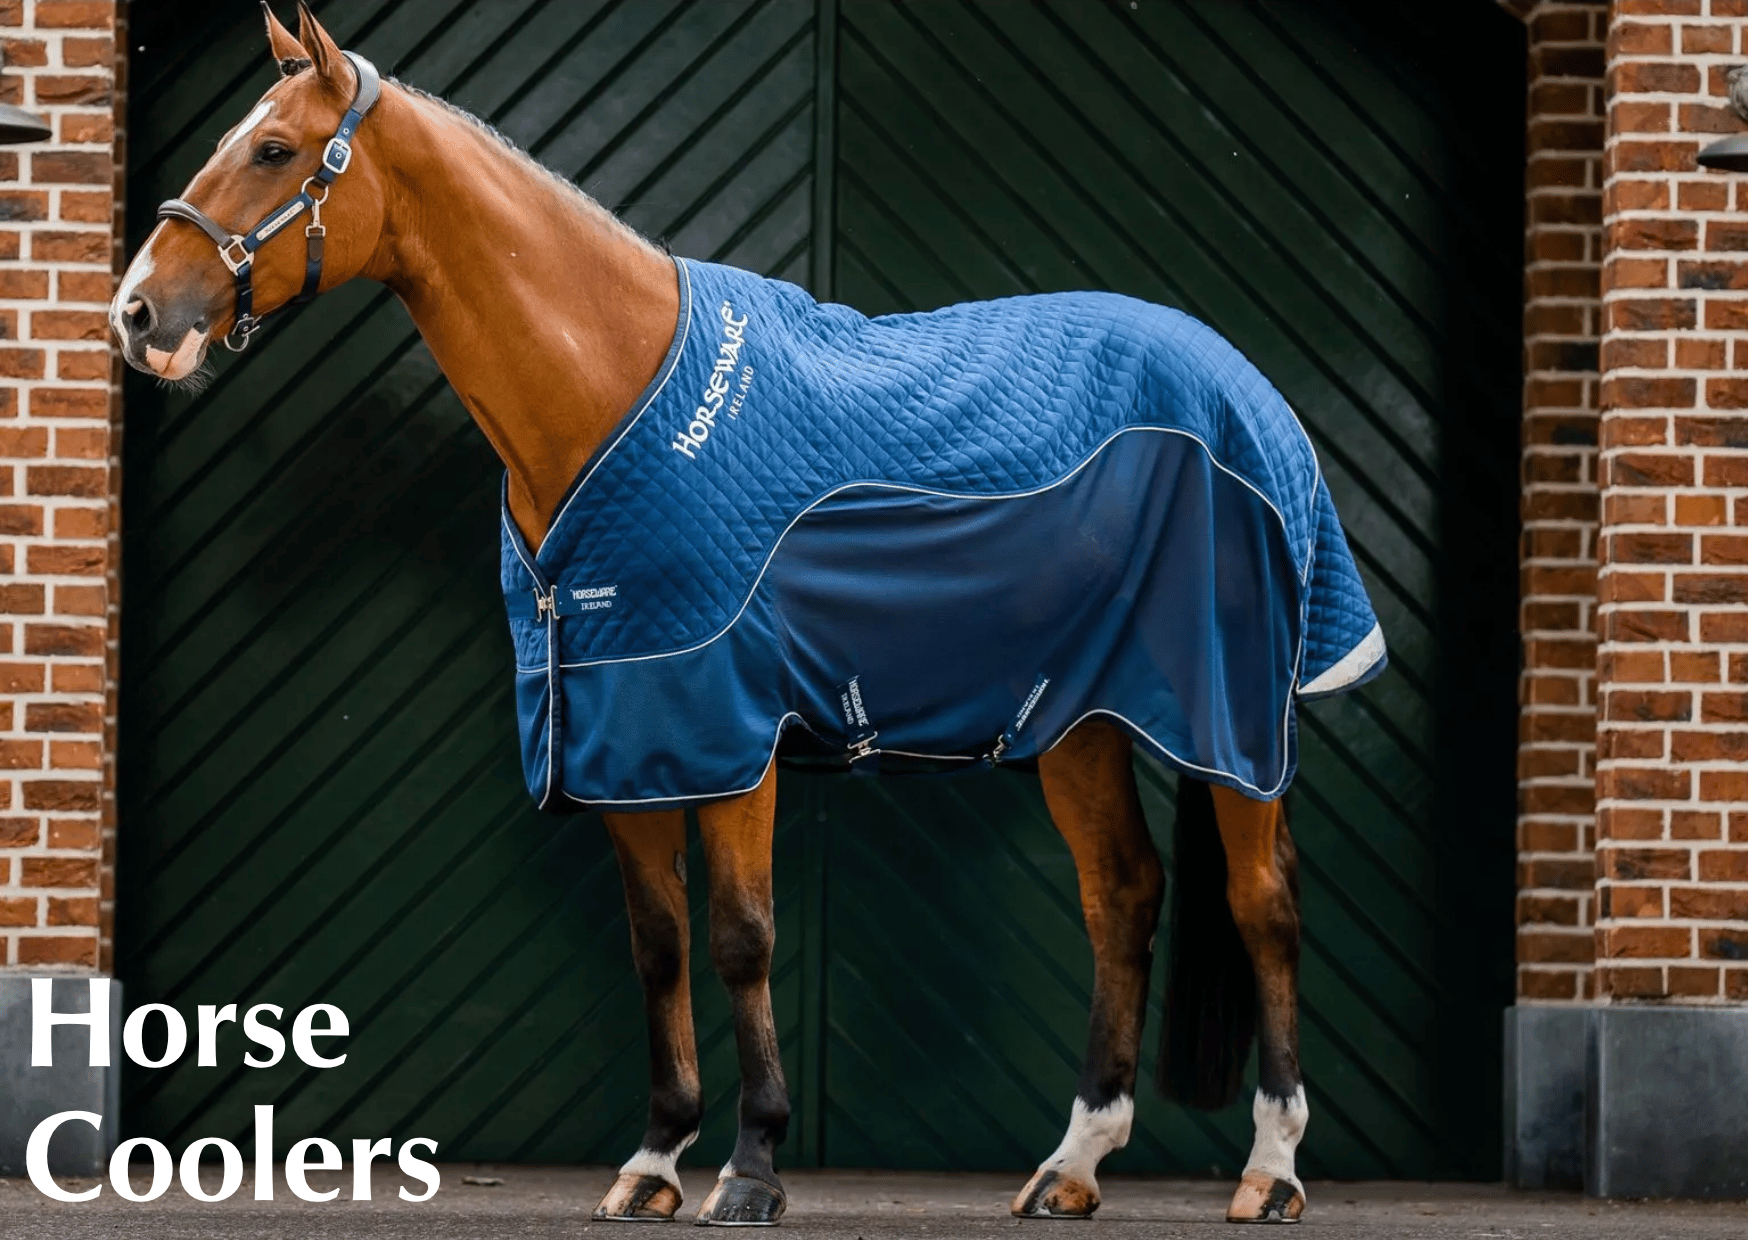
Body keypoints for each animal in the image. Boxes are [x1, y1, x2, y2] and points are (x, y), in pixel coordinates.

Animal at [112, 4, 1383, 1225]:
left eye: (274, 150)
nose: (137, 314)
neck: (609, 386)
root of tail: (1242, 386)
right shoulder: (620, 733)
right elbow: (658, 947)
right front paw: (653, 1160)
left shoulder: (728, 731)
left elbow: (740, 939)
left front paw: (753, 1166)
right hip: (1079, 719)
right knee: (1120, 894)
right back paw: (1070, 1165)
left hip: (1229, 720)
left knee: (1261, 906)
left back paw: (1270, 1170)